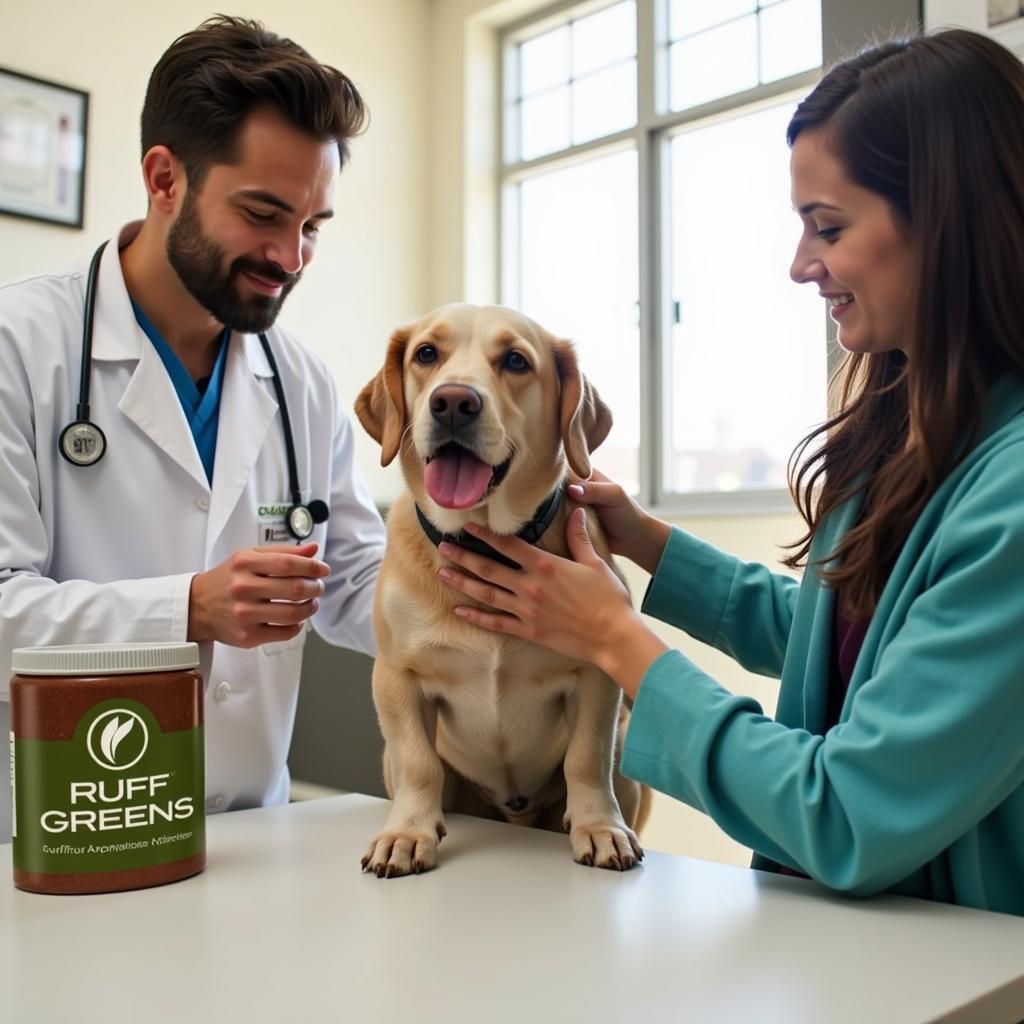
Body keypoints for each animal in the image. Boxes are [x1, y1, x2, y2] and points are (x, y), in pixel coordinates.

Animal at [356, 303, 651, 880]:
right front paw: (407, 833)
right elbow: (418, 762)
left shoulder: (596, 675)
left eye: (516, 361)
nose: (453, 402)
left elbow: (585, 758)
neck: (487, 543)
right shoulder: (395, 677)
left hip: (629, 745)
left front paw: (598, 826)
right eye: (426, 353)